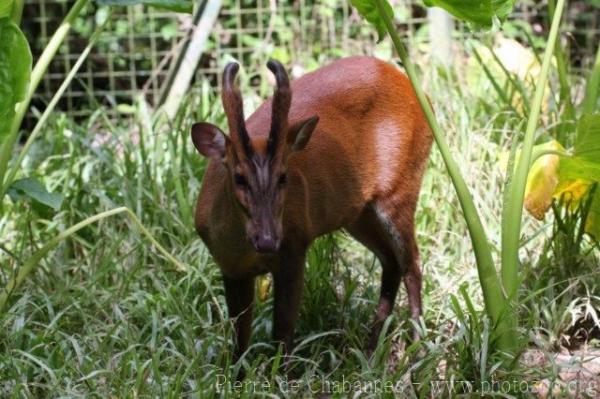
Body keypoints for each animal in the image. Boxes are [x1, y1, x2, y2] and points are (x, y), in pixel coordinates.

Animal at [191, 57, 432, 362]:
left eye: (284, 176)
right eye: (239, 177)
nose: (268, 240)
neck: (244, 249)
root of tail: (421, 96)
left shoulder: (295, 247)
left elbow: (283, 331)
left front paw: (280, 372)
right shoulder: (230, 267)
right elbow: (239, 337)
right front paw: (235, 372)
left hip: (400, 190)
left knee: (412, 263)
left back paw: (417, 352)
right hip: (358, 212)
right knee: (391, 261)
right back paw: (370, 351)